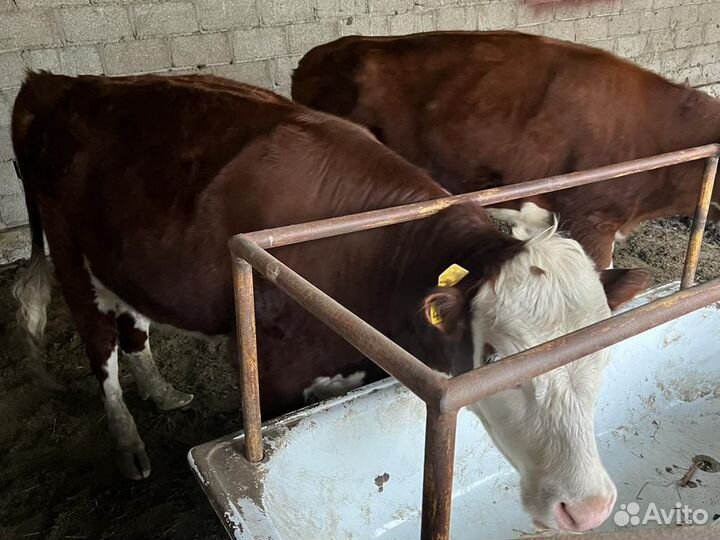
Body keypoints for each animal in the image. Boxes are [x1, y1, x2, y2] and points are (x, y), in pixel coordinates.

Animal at [12, 72, 648, 532]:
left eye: (603, 351)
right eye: (492, 357)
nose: (587, 507)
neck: (370, 256)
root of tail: (53, 82)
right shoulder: (268, 371)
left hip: (124, 259)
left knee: (134, 323)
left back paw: (162, 391)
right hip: (68, 254)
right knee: (99, 349)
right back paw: (128, 444)